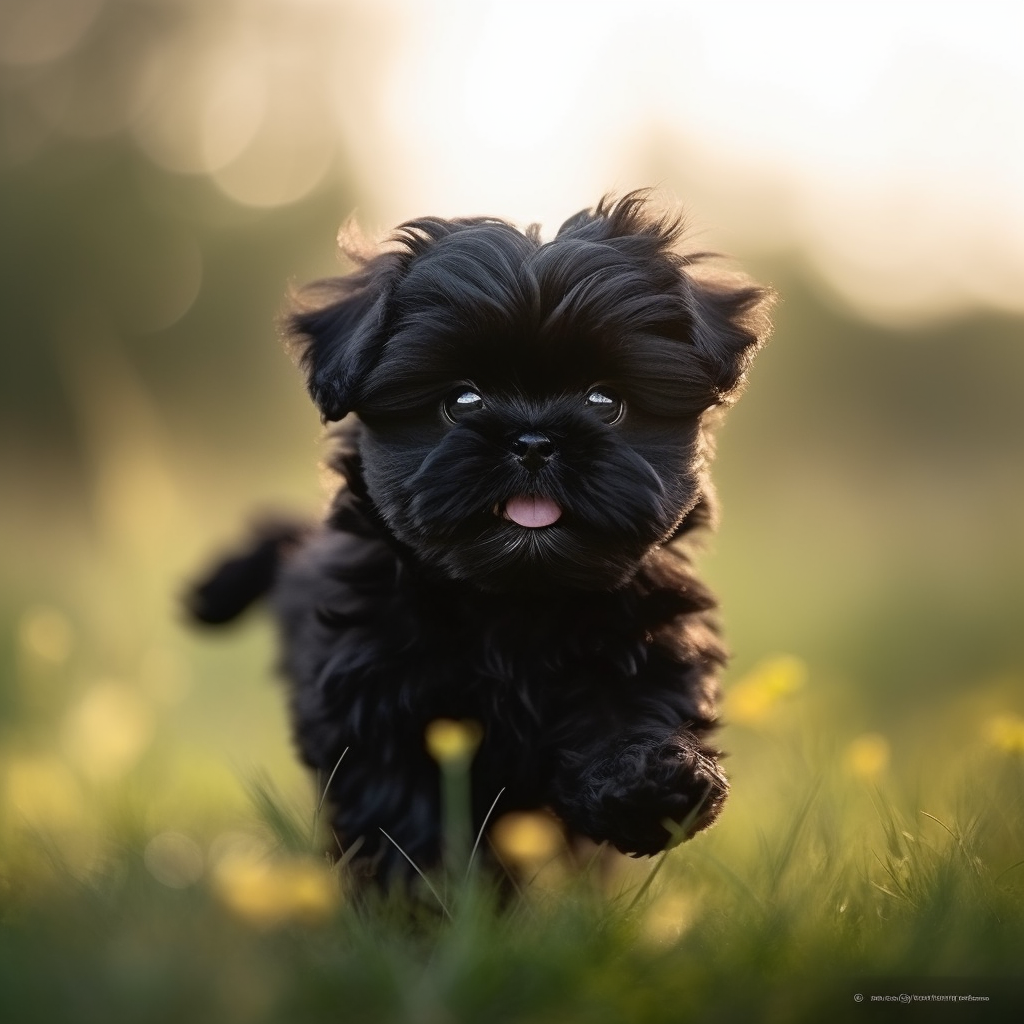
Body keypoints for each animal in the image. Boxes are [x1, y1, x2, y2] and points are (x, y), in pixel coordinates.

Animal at [190, 193, 770, 888]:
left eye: (606, 402)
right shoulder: (377, 701)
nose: (534, 439)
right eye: (462, 402)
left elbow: (631, 717)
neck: (515, 606)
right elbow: (400, 810)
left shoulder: (649, 645)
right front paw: (421, 900)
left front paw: (654, 788)